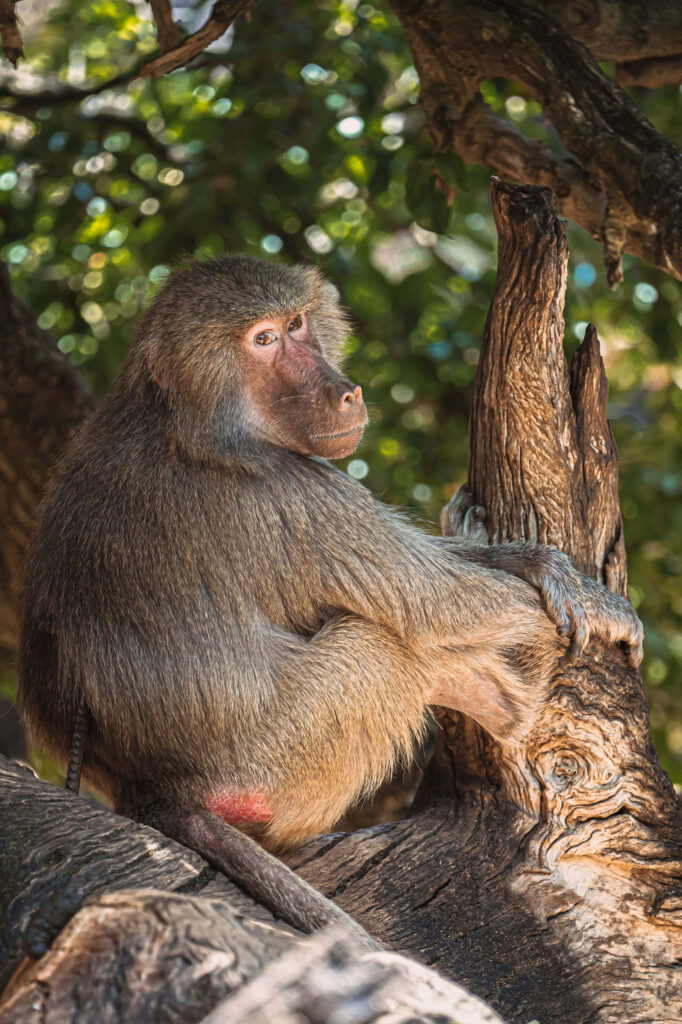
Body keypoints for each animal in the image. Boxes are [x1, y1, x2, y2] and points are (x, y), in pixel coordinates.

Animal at [18, 254, 642, 936]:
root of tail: (156, 792)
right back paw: (519, 700)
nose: (347, 393)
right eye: (262, 340)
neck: (179, 414)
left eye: (296, 324)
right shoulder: (293, 494)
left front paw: (534, 560)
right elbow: (438, 606)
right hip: (286, 757)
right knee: (387, 646)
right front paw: (599, 605)